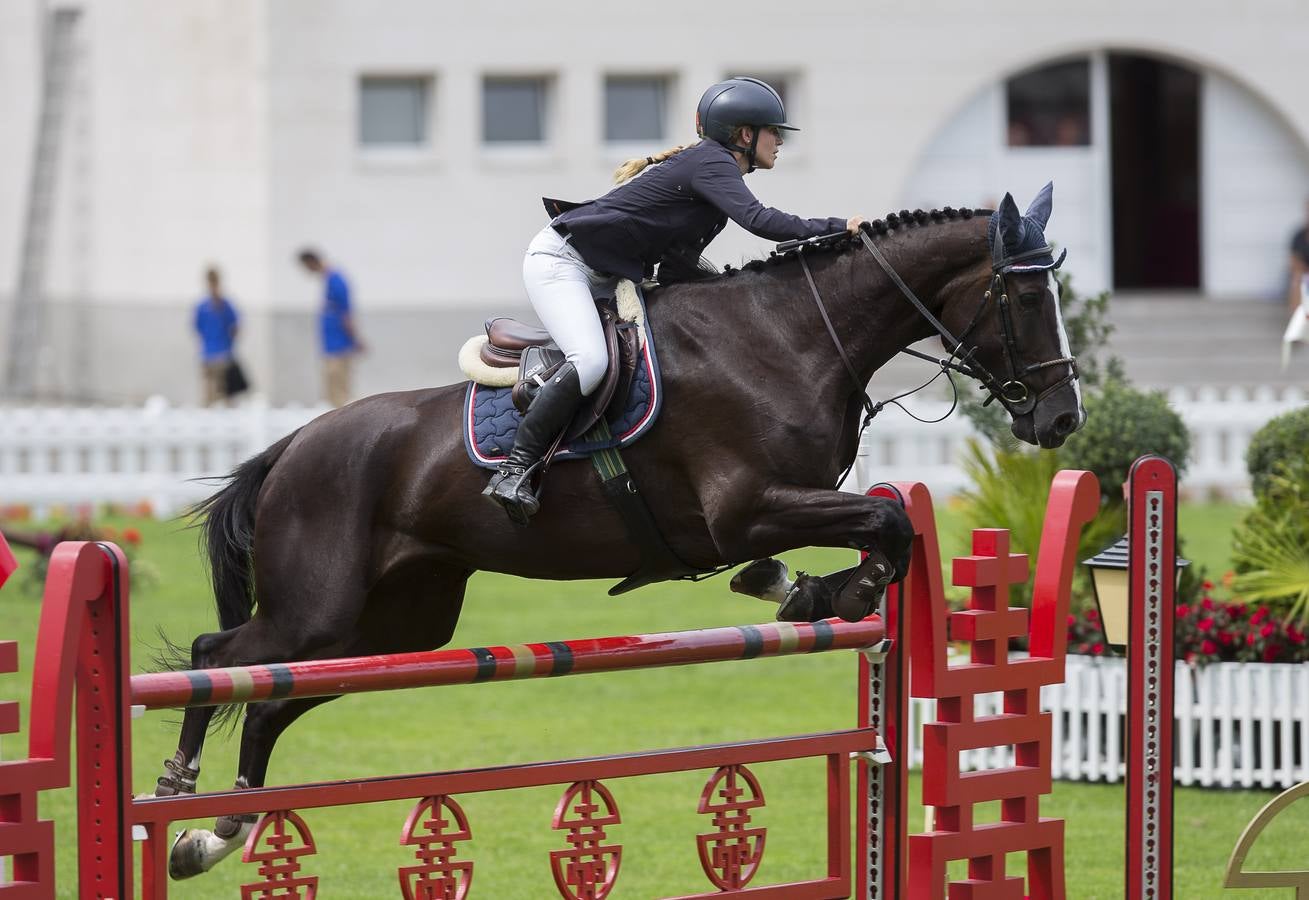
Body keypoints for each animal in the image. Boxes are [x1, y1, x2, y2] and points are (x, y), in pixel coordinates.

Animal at [161, 184, 1083, 879]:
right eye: (1023, 296)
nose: (1061, 419)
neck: (794, 337)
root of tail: (292, 447)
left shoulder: (767, 508)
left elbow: (877, 531)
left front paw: (803, 590)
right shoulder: (744, 507)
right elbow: (887, 520)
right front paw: (830, 593)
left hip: (396, 627)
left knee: (271, 701)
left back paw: (216, 835)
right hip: (320, 609)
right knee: (218, 659)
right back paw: (180, 789)